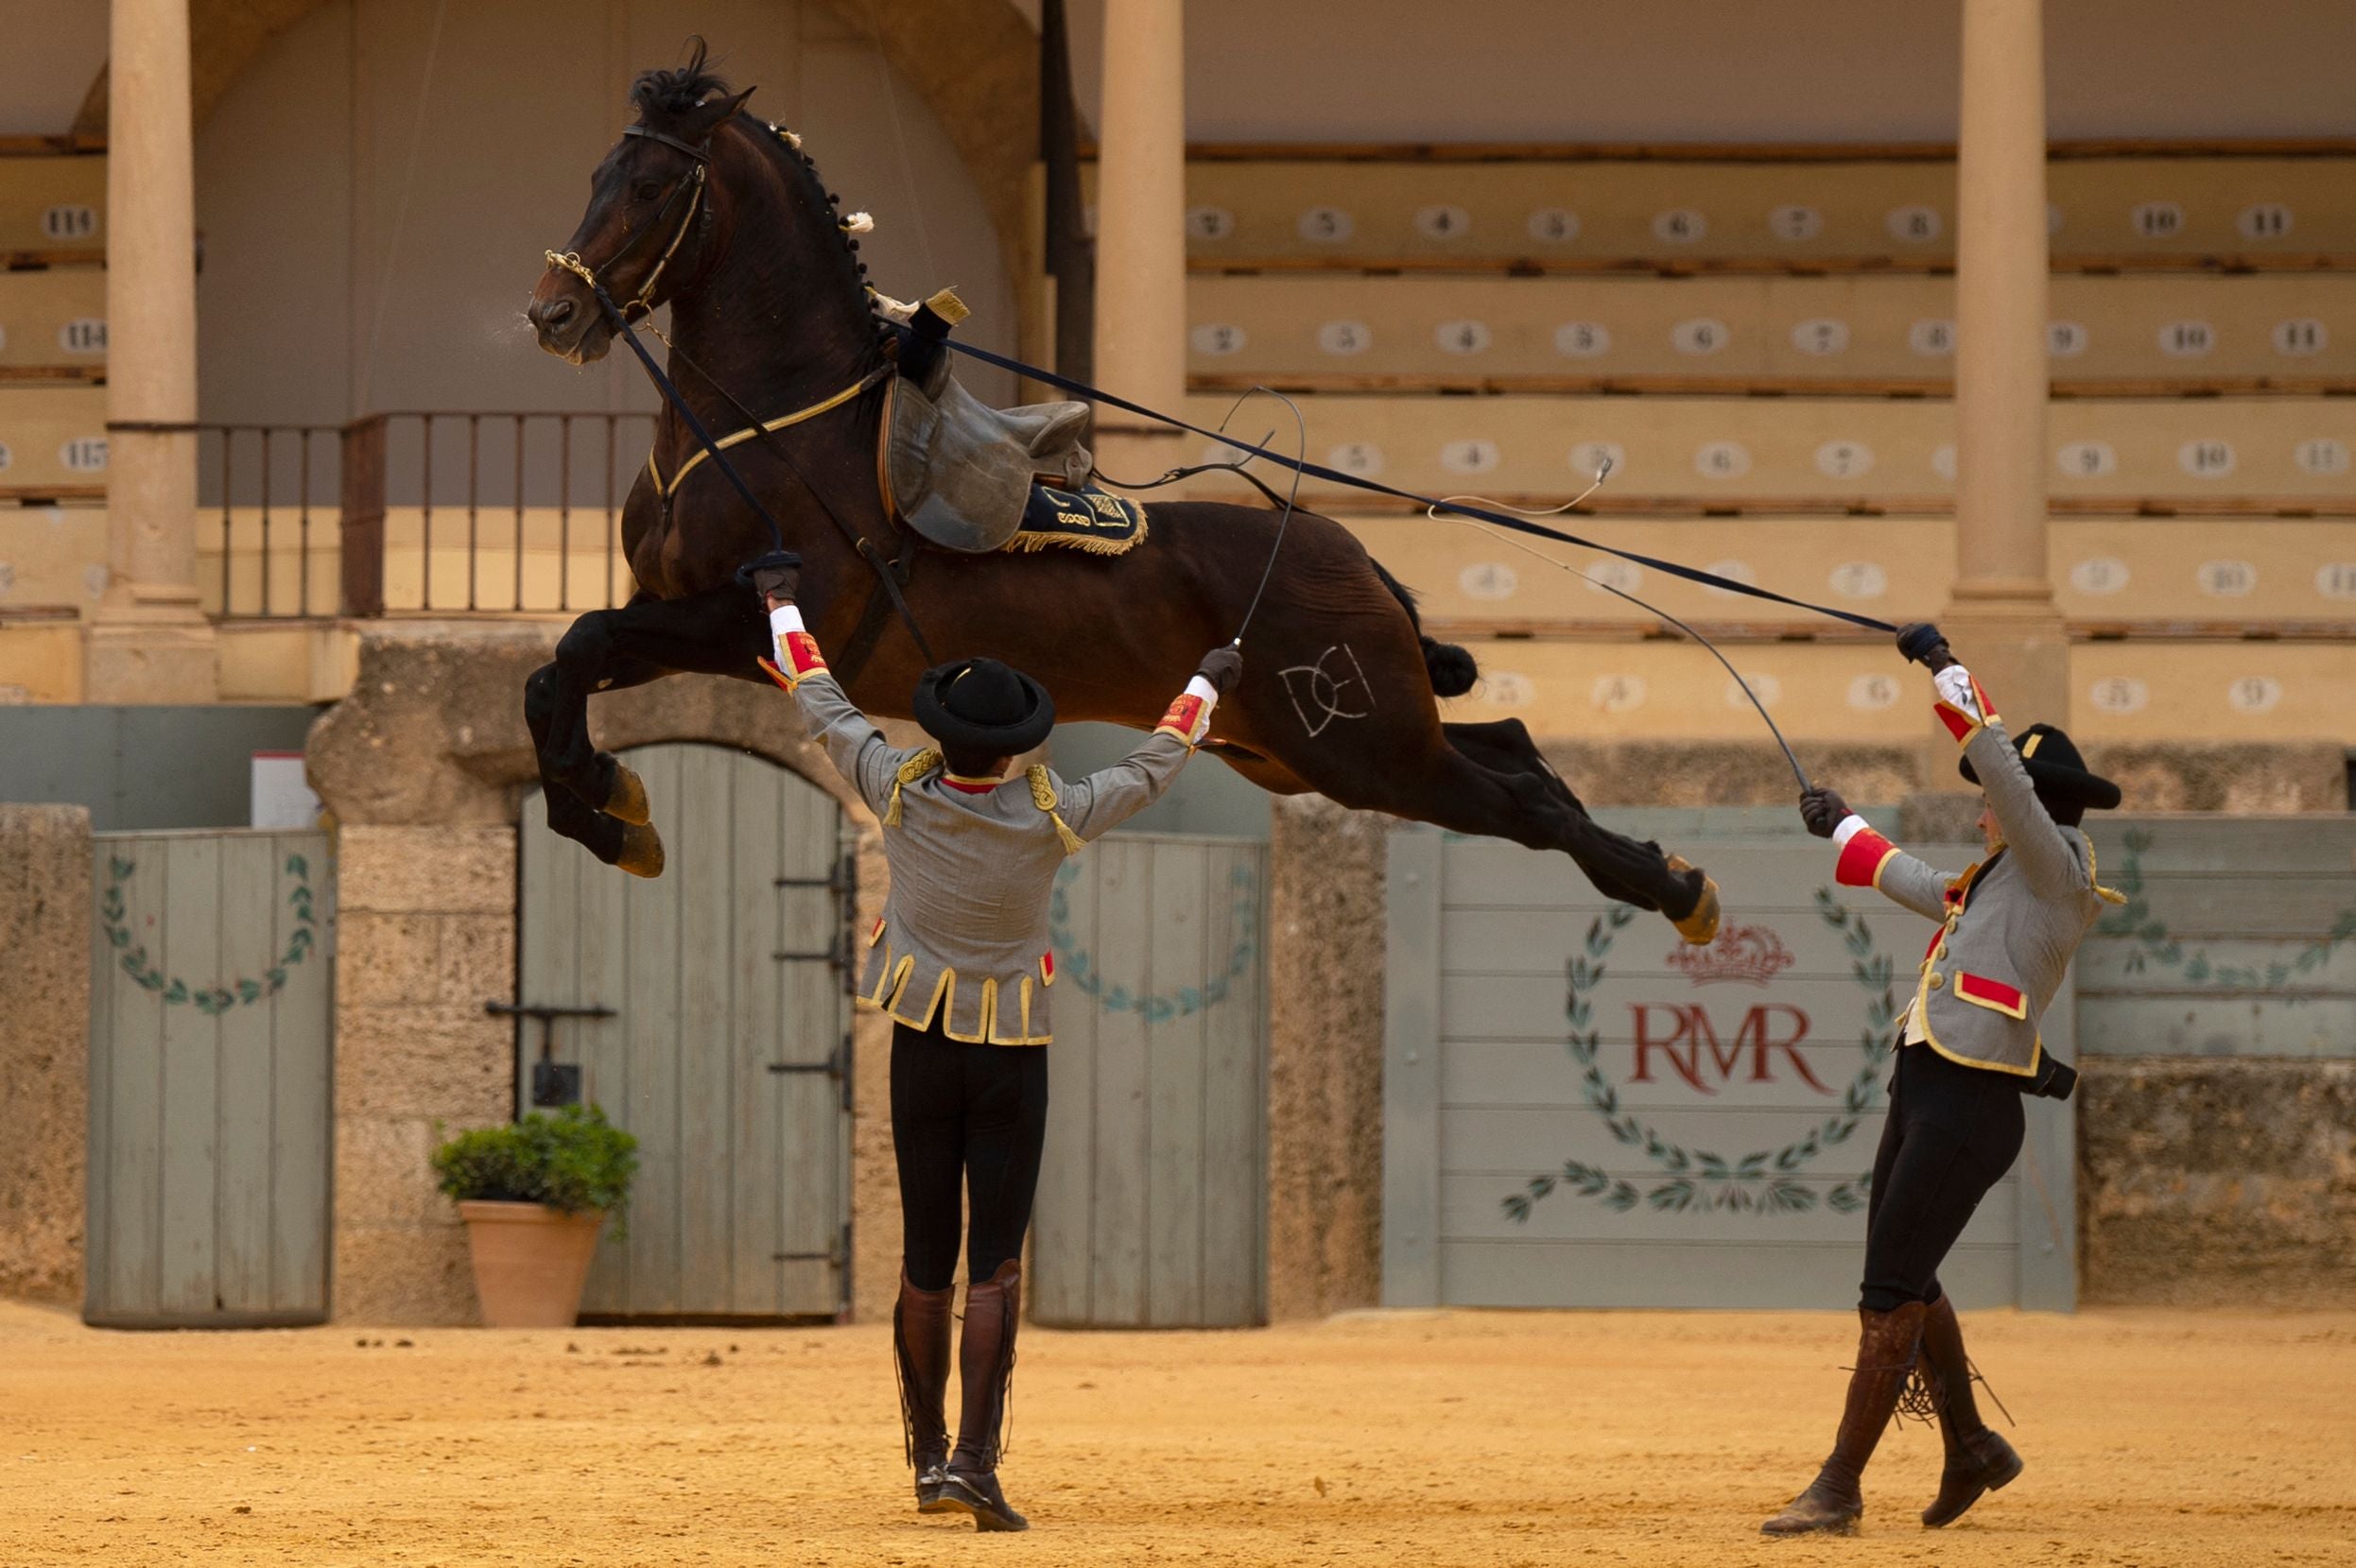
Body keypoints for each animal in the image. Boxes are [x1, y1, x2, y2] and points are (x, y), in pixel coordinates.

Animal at [525, 48, 1724, 941]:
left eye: (648, 187)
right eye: (589, 178)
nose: (551, 314)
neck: (777, 423)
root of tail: (1350, 553)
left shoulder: (748, 622)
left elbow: (576, 644)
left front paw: (610, 804)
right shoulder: (682, 620)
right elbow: (556, 675)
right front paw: (612, 812)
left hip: (1367, 751)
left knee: (1520, 797)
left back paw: (1675, 889)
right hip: (1311, 753)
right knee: (1517, 749)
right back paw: (1662, 875)